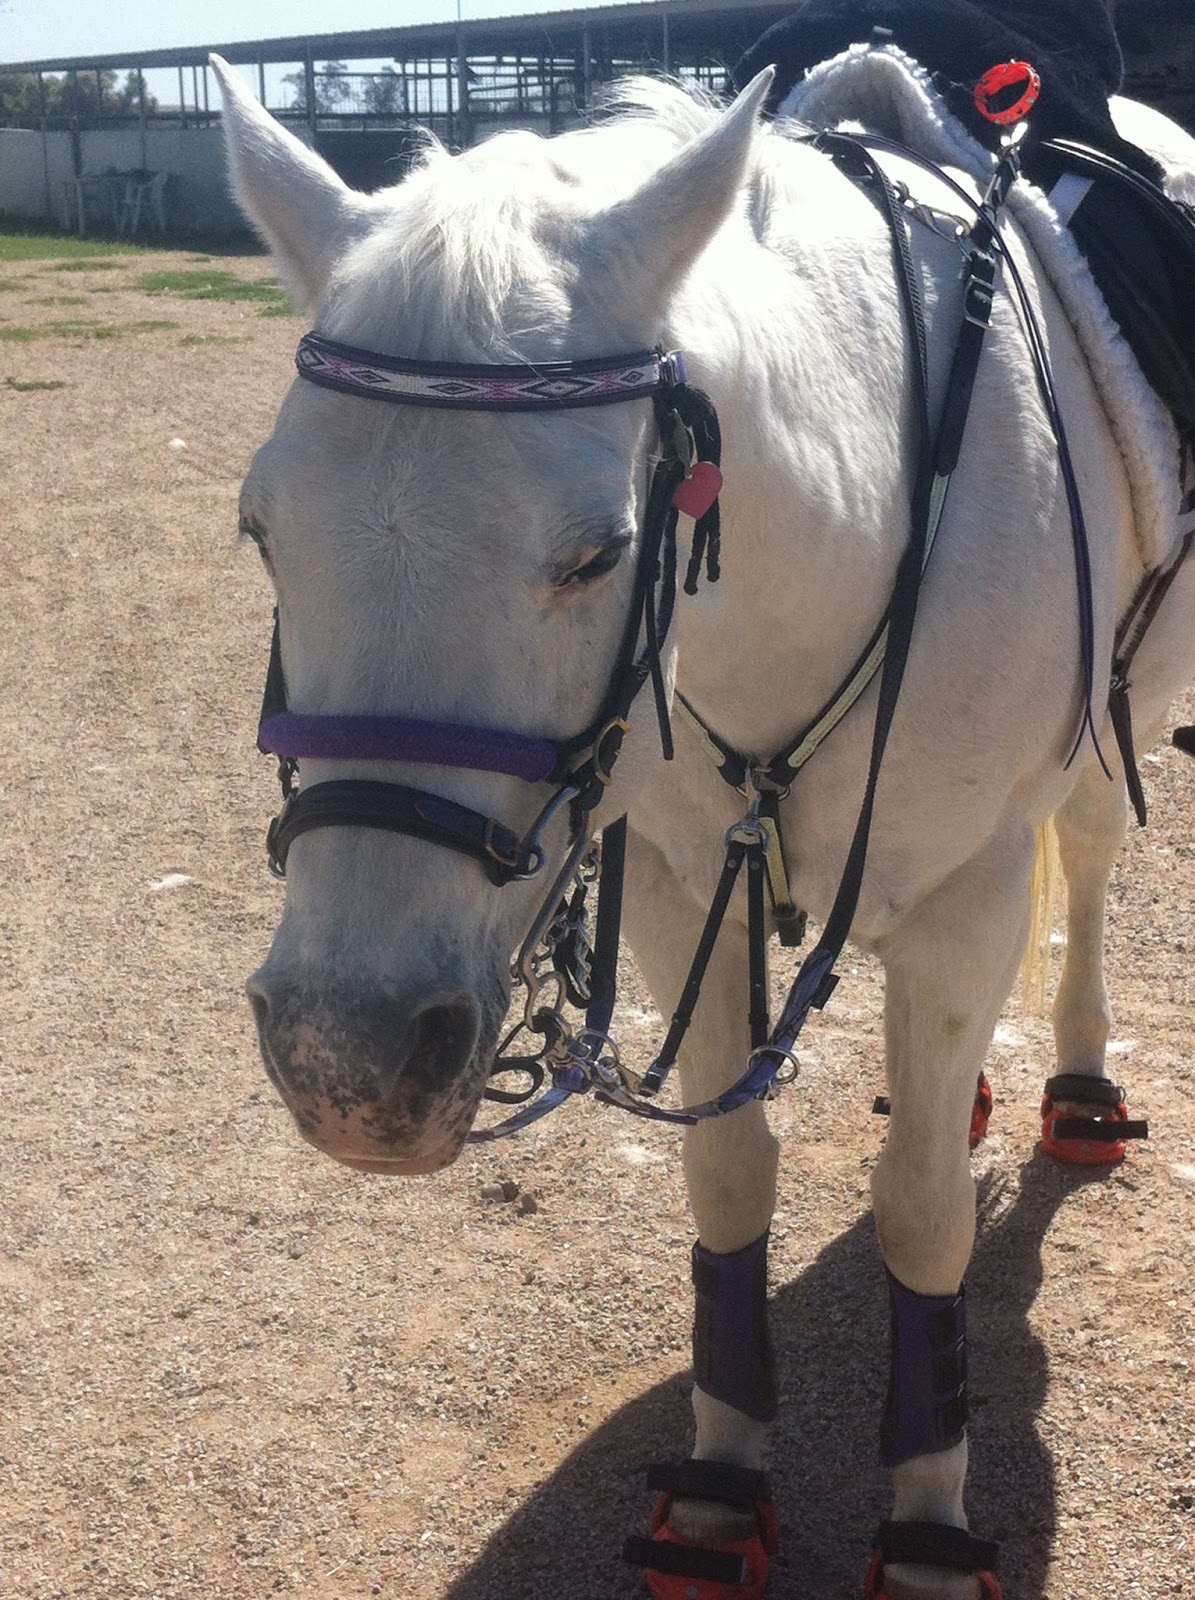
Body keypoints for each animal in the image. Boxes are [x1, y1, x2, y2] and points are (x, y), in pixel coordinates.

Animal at [211, 50, 1195, 1600]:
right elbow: (727, 1173)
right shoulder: (684, 884)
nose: (344, 1056)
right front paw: (723, 1485)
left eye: (597, 553)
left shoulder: (967, 893)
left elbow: (920, 1208)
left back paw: (1074, 1083)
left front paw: (926, 1514)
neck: (859, 515)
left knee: (1091, 862)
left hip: (1124, 713)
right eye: (262, 530)